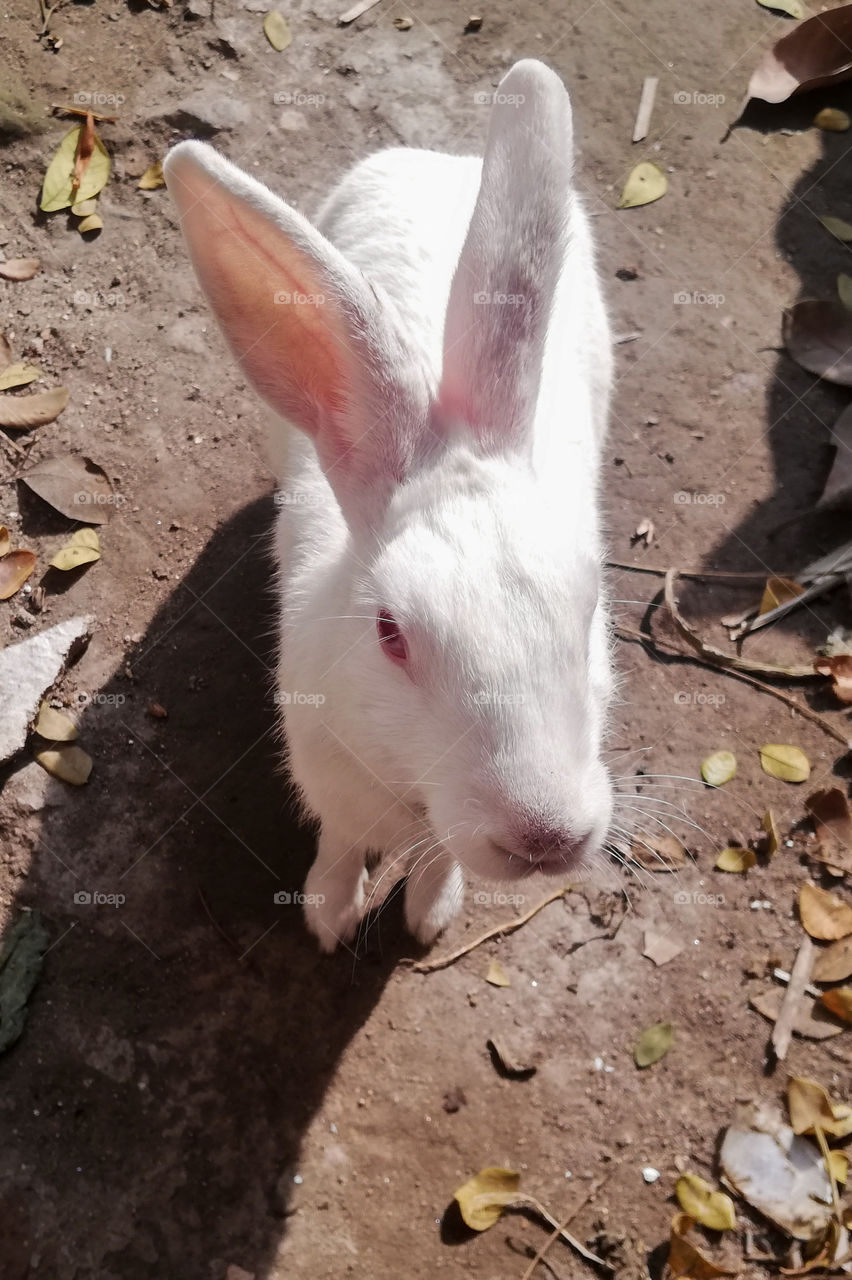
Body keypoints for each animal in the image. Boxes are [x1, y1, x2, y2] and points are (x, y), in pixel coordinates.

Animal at [164, 58, 615, 953]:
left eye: (589, 608)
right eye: (390, 635)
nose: (546, 834)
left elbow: (438, 862)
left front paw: (429, 916)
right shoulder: (330, 782)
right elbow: (340, 845)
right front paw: (329, 917)